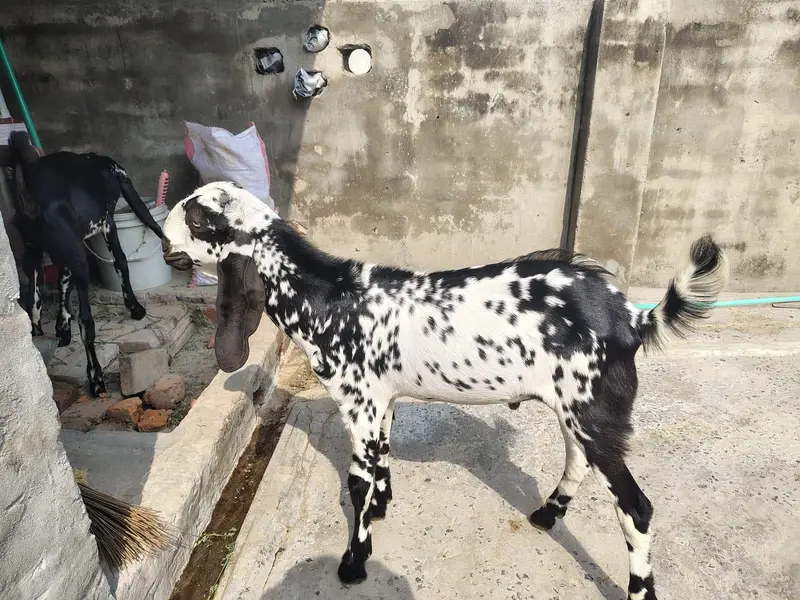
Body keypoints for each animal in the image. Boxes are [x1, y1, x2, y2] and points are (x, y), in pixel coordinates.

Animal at [5, 132, 164, 396]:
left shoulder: (70, 247)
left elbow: (62, 281)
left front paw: (62, 326)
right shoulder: (107, 224)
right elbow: (121, 262)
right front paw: (134, 306)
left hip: (35, 254)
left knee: (34, 307)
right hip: (78, 258)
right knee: (86, 321)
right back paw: (95, 377)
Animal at [161, 181, 726, 600]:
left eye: (196, 219)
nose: (163, 240)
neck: (328, 297)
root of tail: (631, 319)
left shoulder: (359, 403)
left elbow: (357, 481)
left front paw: (354, 561)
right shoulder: (382, 402)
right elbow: (381, 463)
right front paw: (382, 509)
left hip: (594, 413)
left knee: (636, 508)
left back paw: (638, 589)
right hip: (578, 411)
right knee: (578, 460)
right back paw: (547, 513)